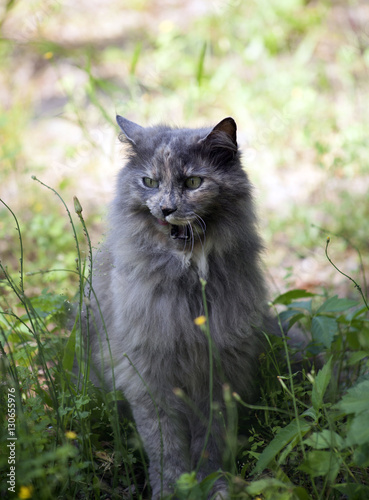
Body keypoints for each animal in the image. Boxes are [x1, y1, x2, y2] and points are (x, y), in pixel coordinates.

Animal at [83, 115, 274, 498]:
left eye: (193, 182)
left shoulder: (218, 376)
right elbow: (165, 449)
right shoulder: (148, 379)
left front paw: (213, 486)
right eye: (150, 182)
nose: (166, 209)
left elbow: (210, 444)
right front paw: (172, 490)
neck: (188, 274)